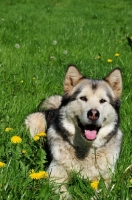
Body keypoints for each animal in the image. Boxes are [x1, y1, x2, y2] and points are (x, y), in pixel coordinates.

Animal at [25, 65, 122, 198]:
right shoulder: (54, 175)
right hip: (33, 121)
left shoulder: (106, 179)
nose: (93, 114)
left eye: (102, 101)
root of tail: (54, 108)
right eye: (83, 98)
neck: (85, 149)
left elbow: (101, 193)